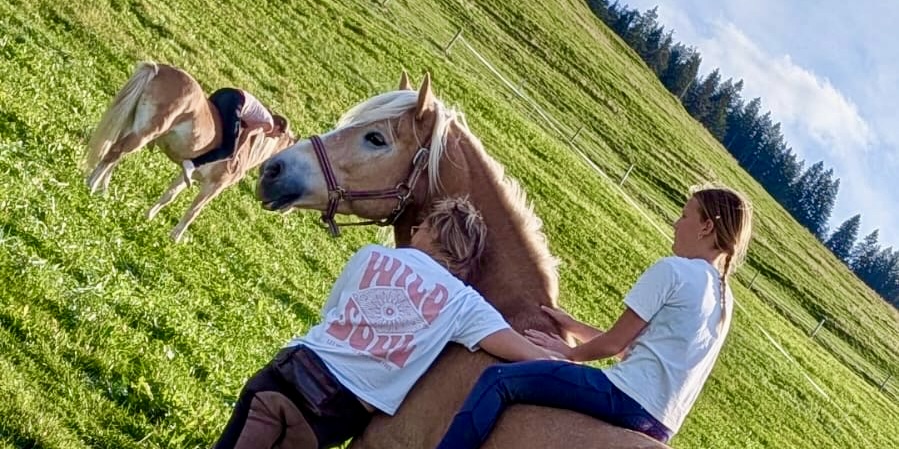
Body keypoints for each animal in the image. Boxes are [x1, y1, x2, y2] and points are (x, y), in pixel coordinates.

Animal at [83, 61, 296, 242]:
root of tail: (159, 68)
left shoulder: (189, 176)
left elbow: (169, 195)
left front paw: (148, 216)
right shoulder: (213, 186)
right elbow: (194, 211)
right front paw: (176, 237)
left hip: (133, 127)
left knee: (113, 155)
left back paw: (101, 189)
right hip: (145, 133)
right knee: (115, 153)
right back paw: (91, 186)